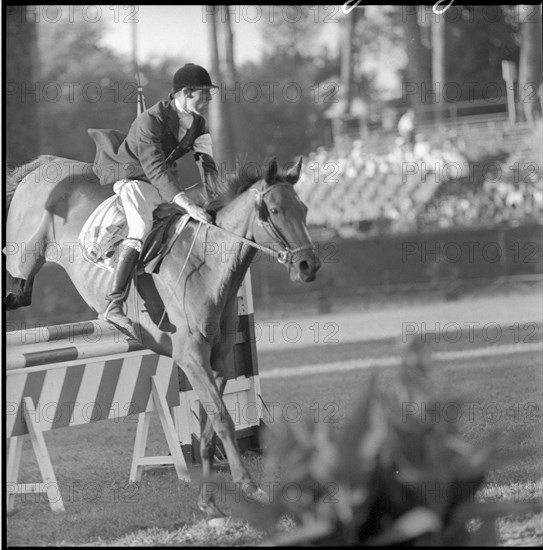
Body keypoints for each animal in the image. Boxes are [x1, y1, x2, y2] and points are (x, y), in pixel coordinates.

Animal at [4, 154, 320, 520]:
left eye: (304, 208)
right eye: (276, 210)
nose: (309, 265)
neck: (208, 265)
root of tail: (44, 165)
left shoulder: (220, 361)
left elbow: (211, 426)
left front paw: (208, 502)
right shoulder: (191, 357)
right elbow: (223, 419)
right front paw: (248, 485)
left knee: (19, 293)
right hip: (22, 258)